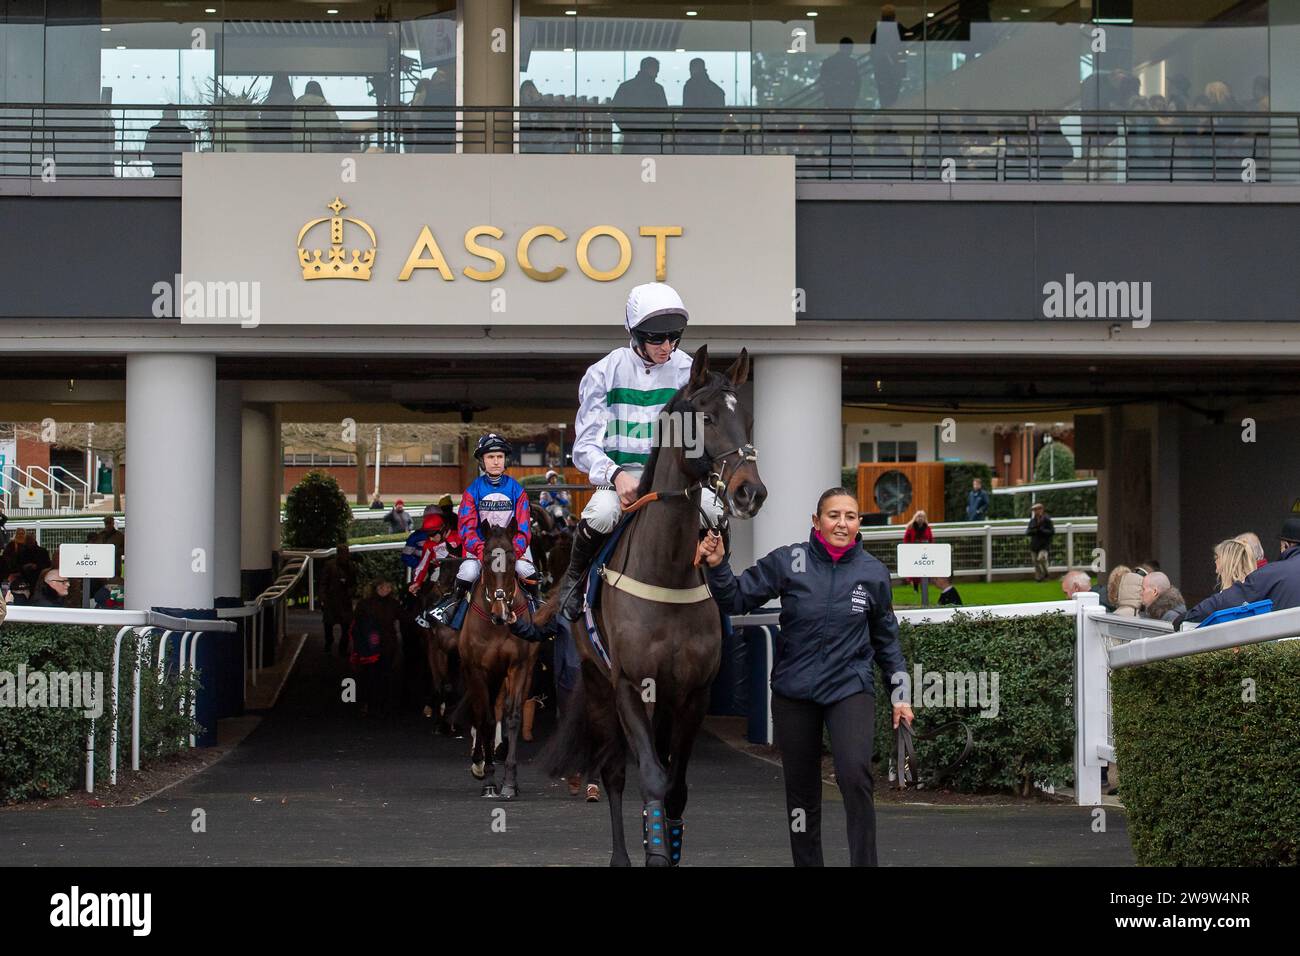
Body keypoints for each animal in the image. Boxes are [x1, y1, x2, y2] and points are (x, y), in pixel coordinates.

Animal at [543, 345, 764, 868]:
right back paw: (622, 855)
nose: (751, 492)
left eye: (746, 418)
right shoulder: (627, 684)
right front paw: (655, 851)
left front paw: (668, 846)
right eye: (705, 418)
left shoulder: (693, 692)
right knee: (613, 772)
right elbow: (650, 777)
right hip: (596, 682)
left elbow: (676, 785)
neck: (666, 573)